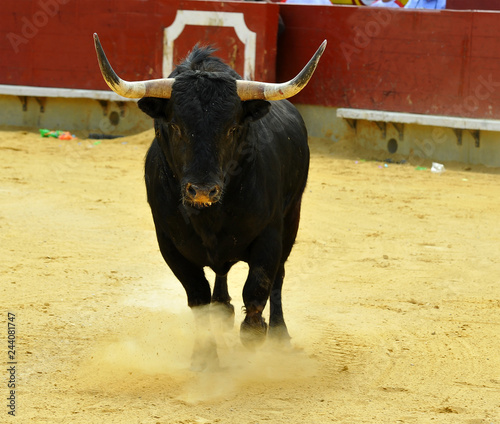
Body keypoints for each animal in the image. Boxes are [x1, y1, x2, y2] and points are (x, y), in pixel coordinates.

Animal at [94, 34, 326, 370]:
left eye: (232, 128)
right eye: (175, 126)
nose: (202, 191)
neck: (210, 217)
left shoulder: (270, 236)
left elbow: (257, 289)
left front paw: (256, 332)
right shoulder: (170, 245)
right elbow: (199, 300)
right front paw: (204, 358)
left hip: (292, 217)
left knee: (278, 278)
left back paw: (279, 335)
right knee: (221, 274)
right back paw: (224, 310)